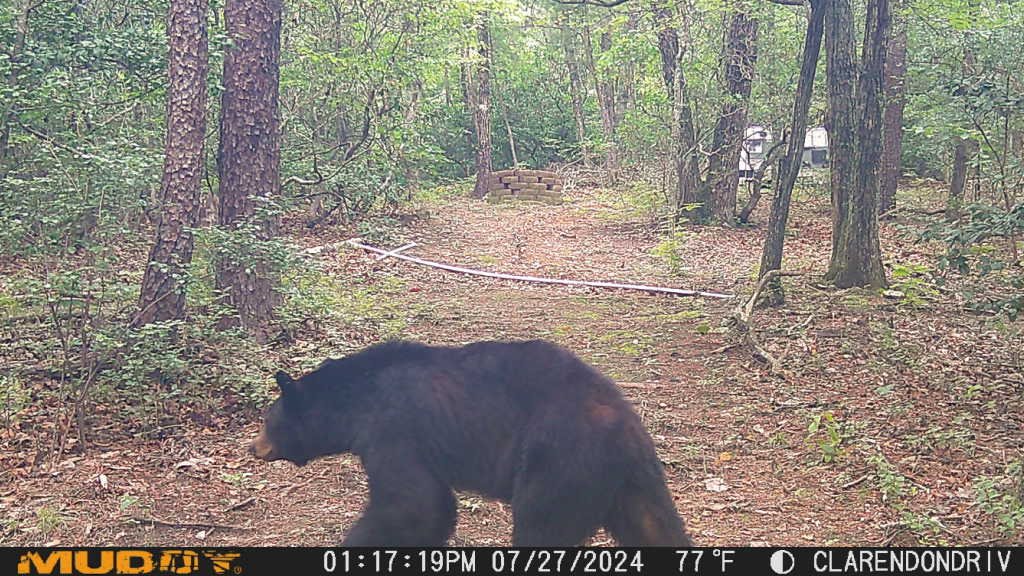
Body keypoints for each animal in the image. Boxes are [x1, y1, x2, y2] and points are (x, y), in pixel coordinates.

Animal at [250, 339, 692, 546]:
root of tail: (623, 421)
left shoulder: (394, 429)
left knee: (540, 527)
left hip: (559, 460)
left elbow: (413, 504)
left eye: (267, 420)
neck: (355, 402)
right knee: (657, 528)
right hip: (633, 481)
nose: (254, 447)